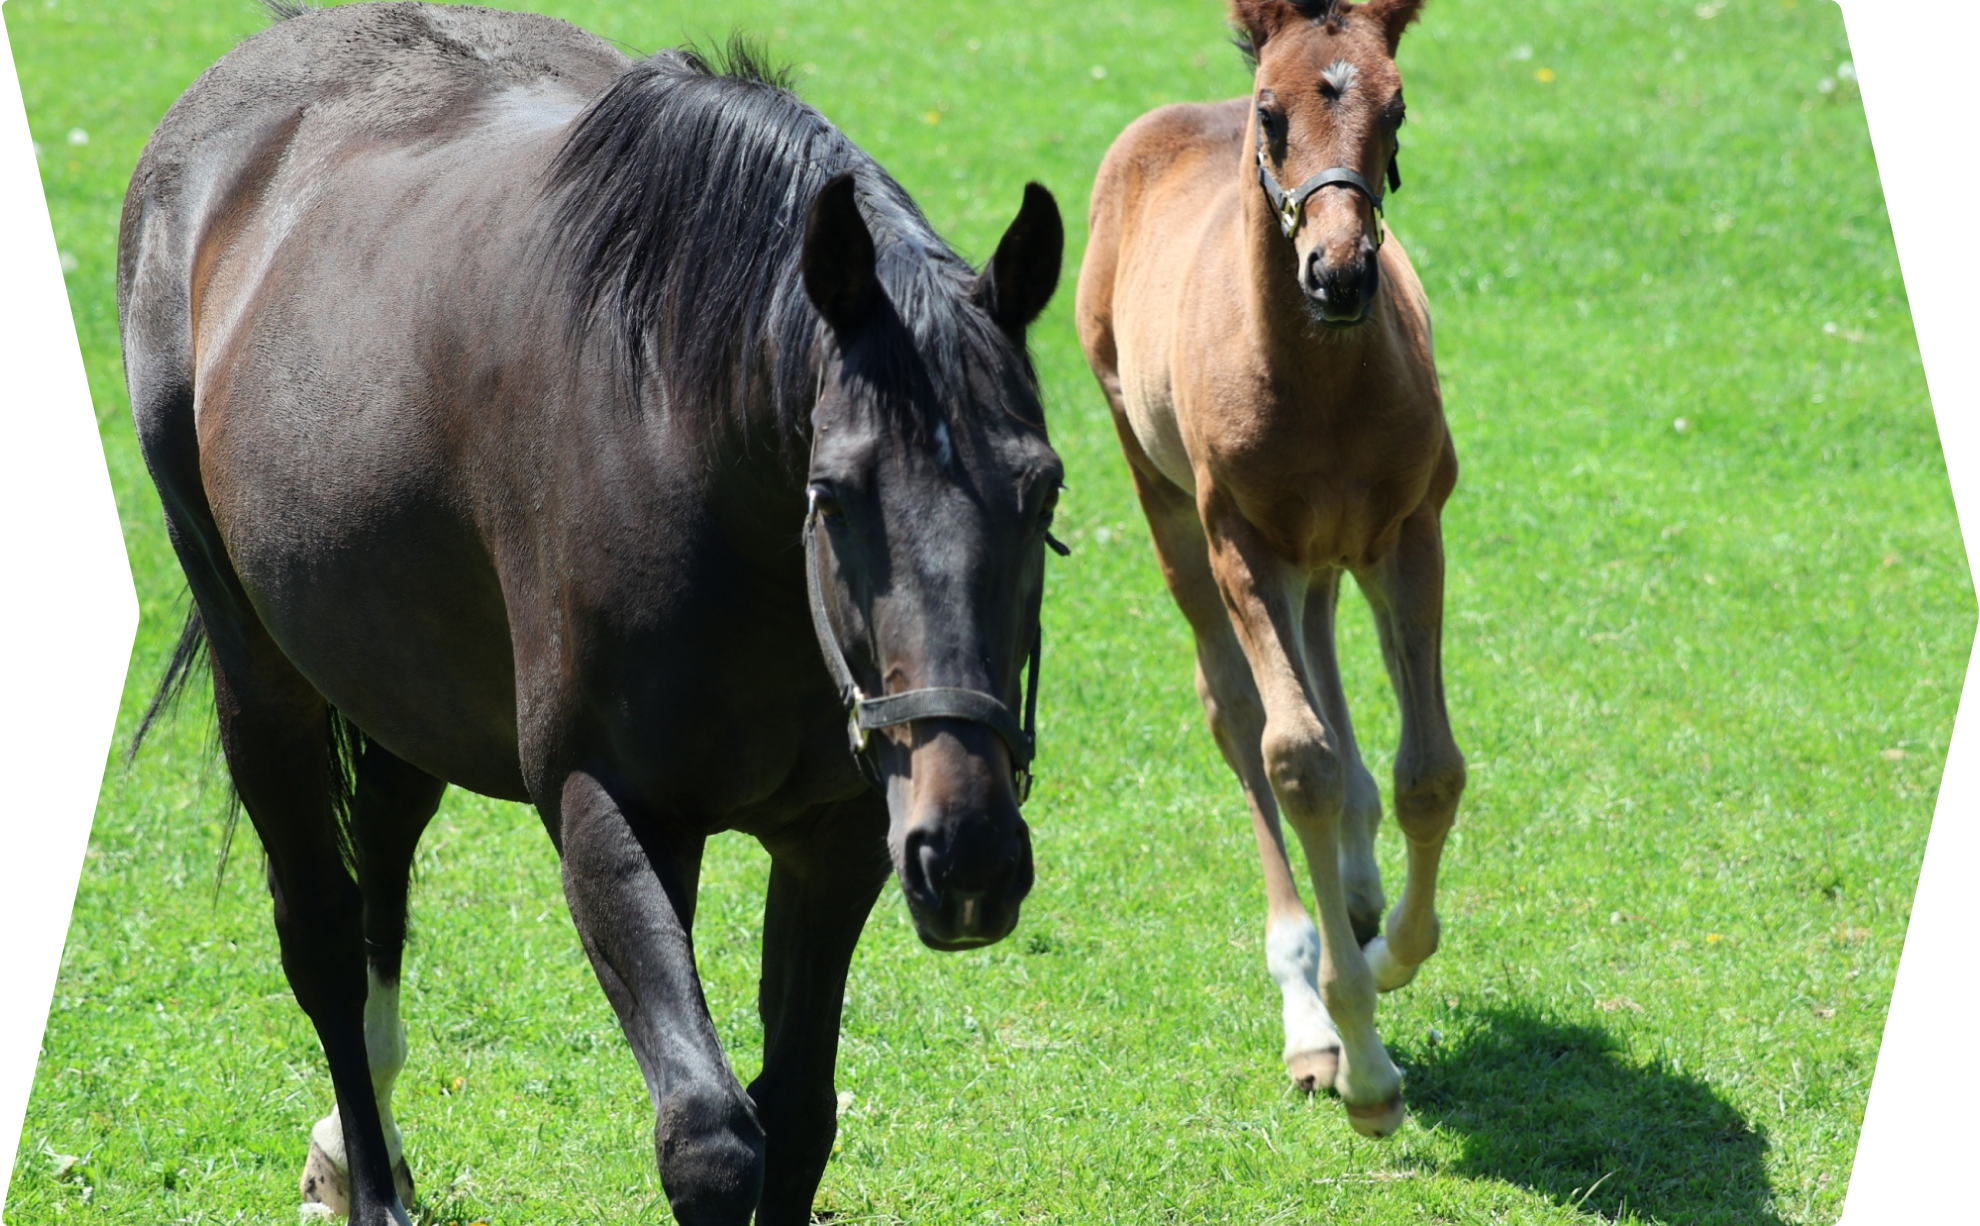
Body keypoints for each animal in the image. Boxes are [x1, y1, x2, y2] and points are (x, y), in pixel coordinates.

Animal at [123, 4, 1069, 1220]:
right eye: (834, 491)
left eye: (1042, 489)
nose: (969, 854)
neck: (693, 443)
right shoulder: (604, 806)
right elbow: (711, 1134)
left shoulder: (838, 834)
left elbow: (800, 1114)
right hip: (262, 675)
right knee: (324, 933)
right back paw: (372, 1181)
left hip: (400, 678)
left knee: (382, 857)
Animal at [1077, 0, 1465, 1140]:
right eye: (1270, 114)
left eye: (1397, 110)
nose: (1338, 274)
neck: (1323, 380)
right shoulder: (1238, 539)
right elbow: (1293, 757)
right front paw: (1361, 1062)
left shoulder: (1411, 530)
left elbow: (1431, 770)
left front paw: (1389, 953)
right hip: (1170, 507)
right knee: (1241, 711)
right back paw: (1308, 1008)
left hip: (1327, 552)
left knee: (1325, 664)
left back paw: (1362, 892)